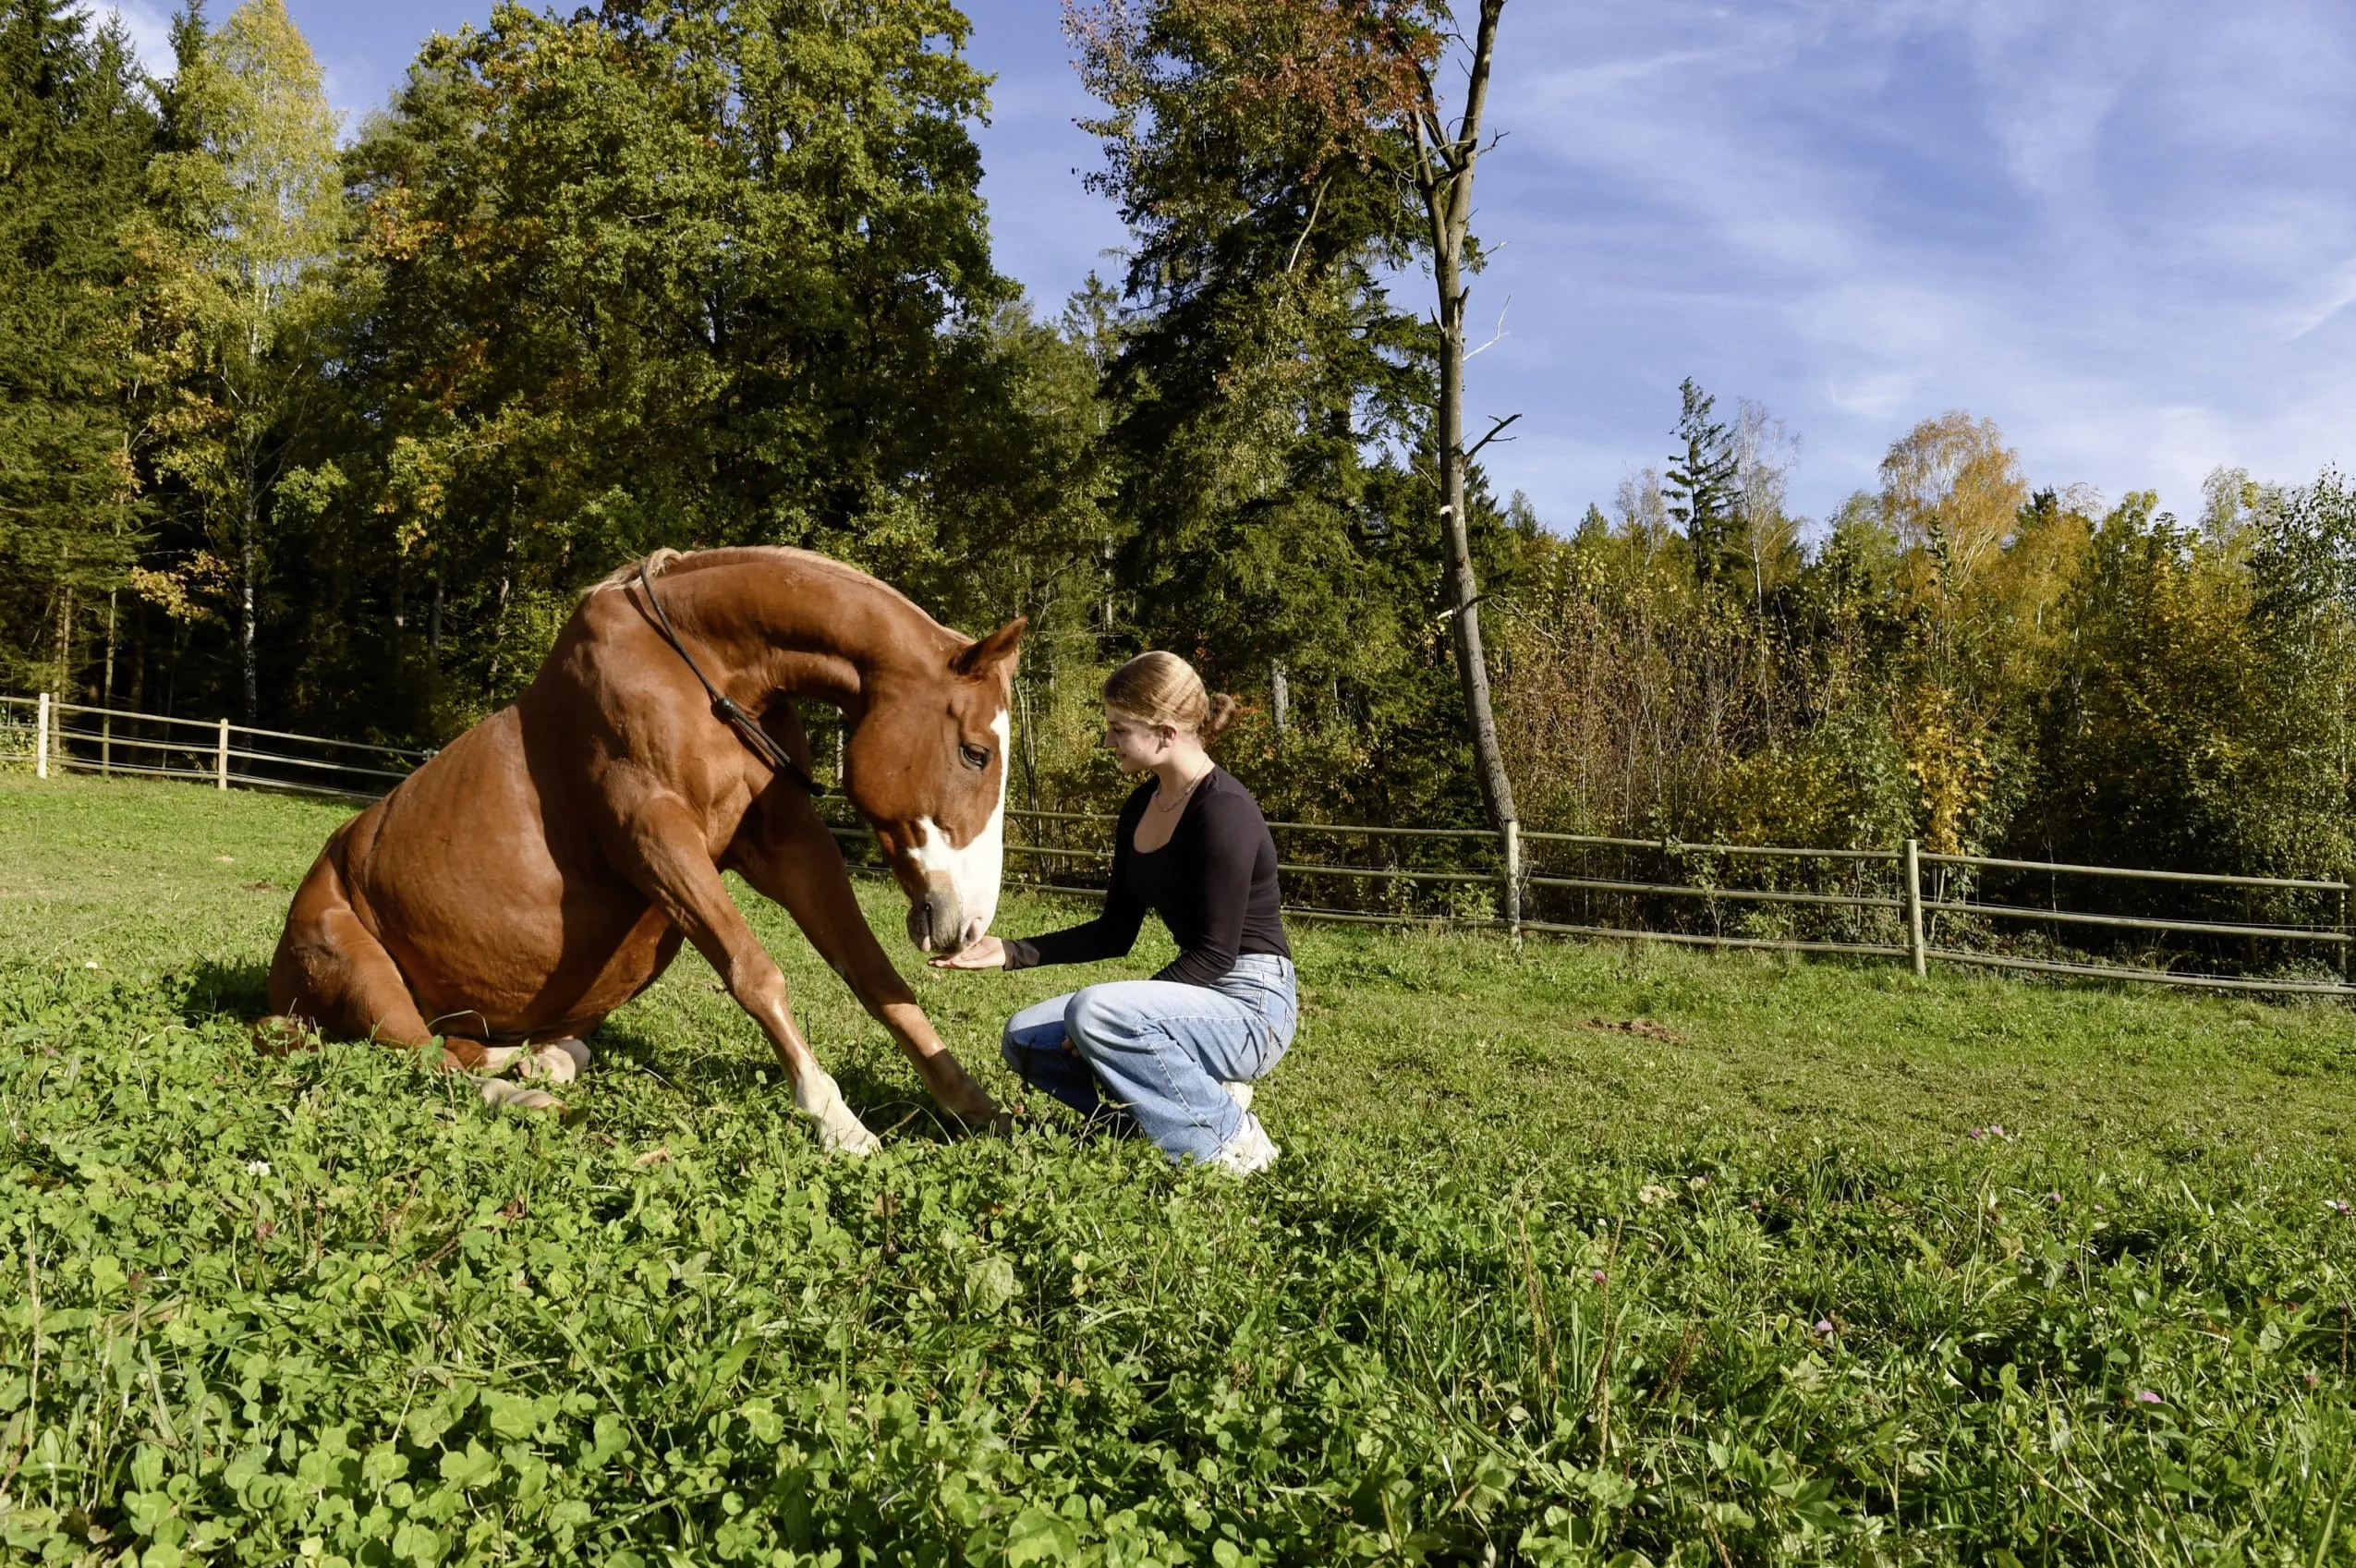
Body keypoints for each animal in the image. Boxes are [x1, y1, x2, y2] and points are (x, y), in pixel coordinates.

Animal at [260, 546, 1024, 1155]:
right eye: (976, 752)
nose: (969, 922)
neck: (700, 668)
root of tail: (279, 983)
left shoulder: (788, 840)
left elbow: (872, 974)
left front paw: (973, 1105)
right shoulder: (654, 835)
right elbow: (755, 972)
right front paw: (836, 1120)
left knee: (471, 1048)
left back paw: (534, 1059)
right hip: (367, 978)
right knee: (425, 1059)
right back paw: (526, 1092)